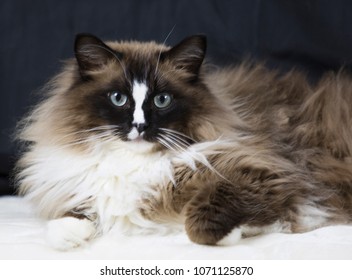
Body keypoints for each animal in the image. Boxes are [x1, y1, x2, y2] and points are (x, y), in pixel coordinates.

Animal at [15, 32, 352, 249]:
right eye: (118, 98)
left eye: (162, 100)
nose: (139, 125)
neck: (132, 164)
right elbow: (64, 222)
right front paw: (71, 236)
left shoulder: (266, 171)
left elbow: (200, 222)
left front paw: (234, 234)